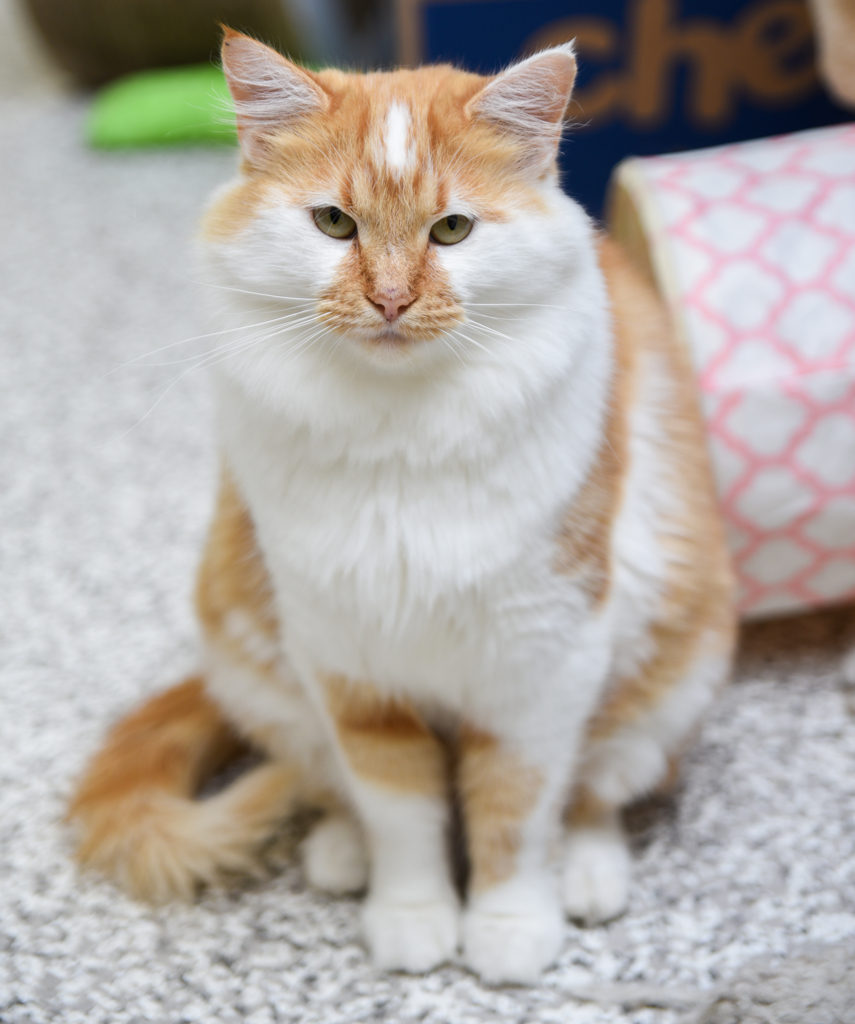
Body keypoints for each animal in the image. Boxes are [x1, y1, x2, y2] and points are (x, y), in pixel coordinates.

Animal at [68, 34, 737, 983]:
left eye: (451, 229)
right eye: (333, 224)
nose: (390, 299)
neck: (399, 441)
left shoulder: (540, 660)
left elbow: (515, 810)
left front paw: (507, 928)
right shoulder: (349, 667)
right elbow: (400, 812)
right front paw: (413, 915)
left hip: (668, 677)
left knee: (596, 792)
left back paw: (587, 874)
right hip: (255, 663)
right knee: (330, 787)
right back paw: (341, 853)